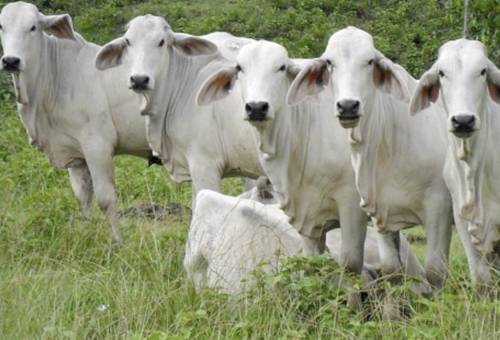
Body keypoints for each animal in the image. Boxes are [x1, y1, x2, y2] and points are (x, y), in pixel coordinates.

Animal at [196, 38, 368, 274]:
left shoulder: (352, 204)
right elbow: (312, 261)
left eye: (281, 67)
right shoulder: (306, 213)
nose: (256, 107)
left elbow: (350, 263)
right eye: (240, 68)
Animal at [286, 25, 454, 290]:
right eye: (329, 62)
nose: (348, 106)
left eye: (370, 62)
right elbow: (393, 270)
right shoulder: (380, 211)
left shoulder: (440, 206)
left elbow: (435, 272)